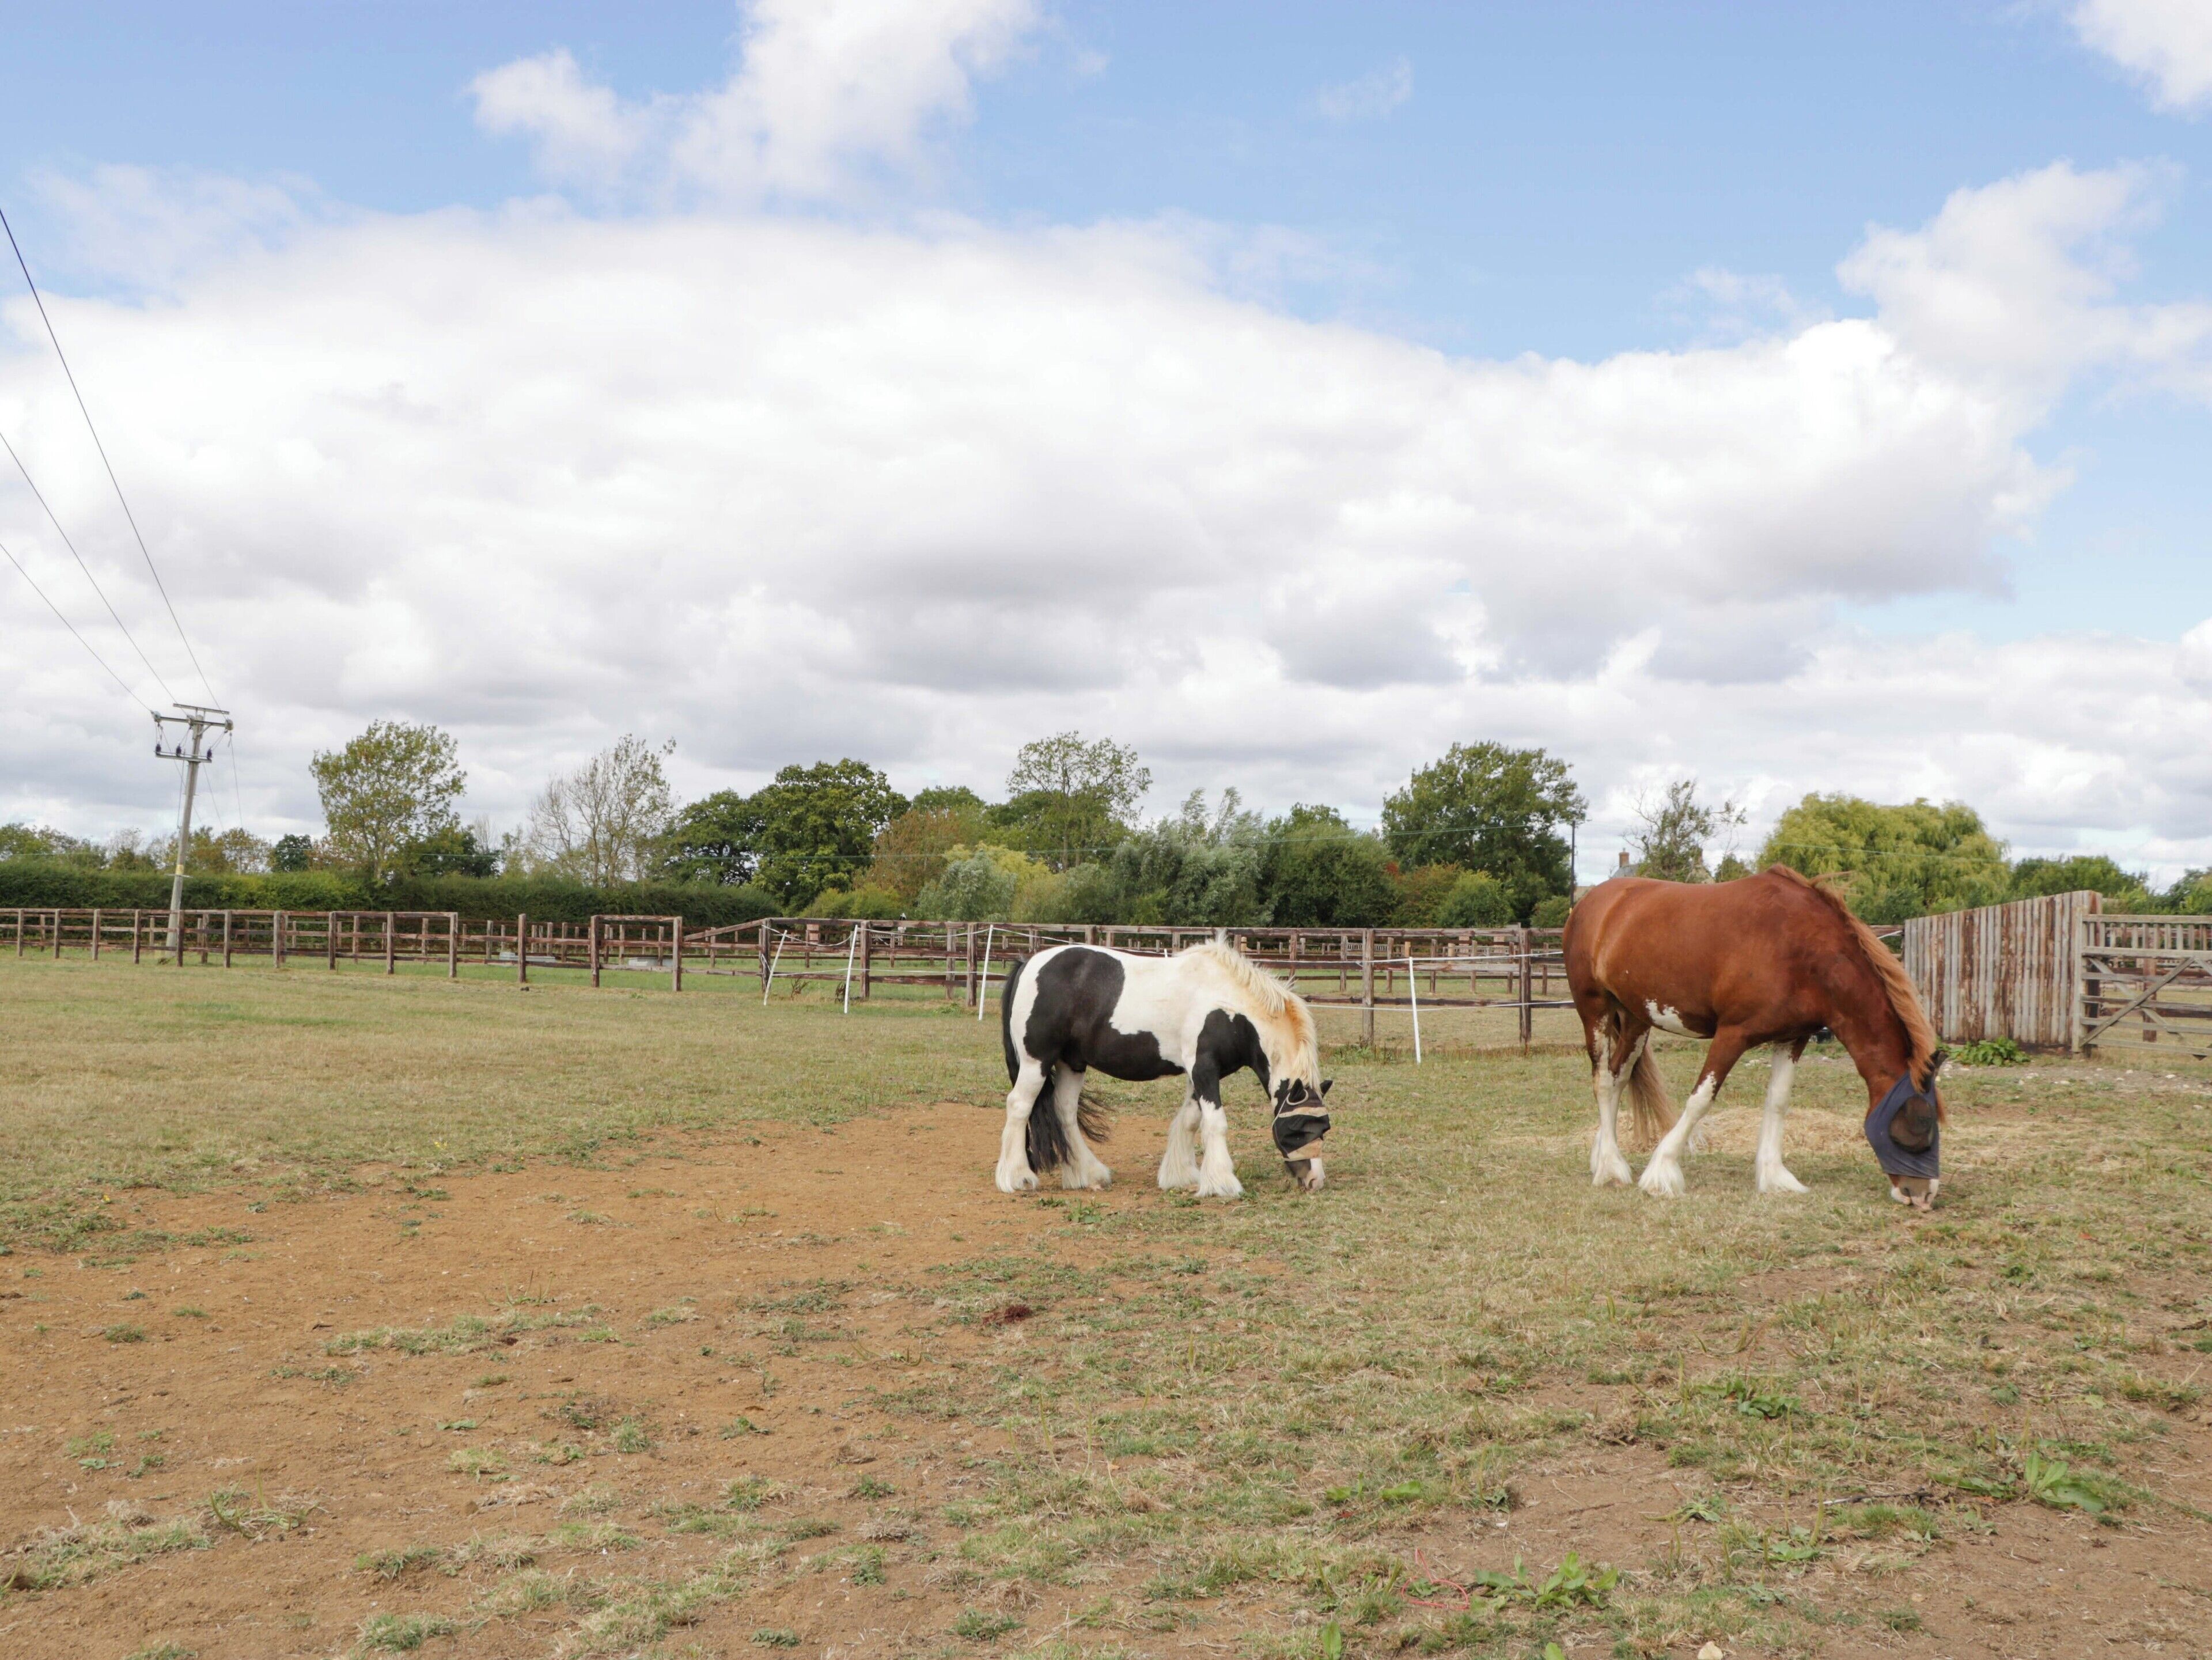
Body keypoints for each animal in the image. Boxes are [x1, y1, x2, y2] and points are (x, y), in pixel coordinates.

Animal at [995, 940, 1332, 1200]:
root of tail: (1028, 964)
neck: (1228, 1007)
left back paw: (1086, 1174)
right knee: (1019, 1106)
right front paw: (1222, 1182)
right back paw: (1016, 1178)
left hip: (1072, 1064)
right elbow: (1215, 1123)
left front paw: (1181, 1175)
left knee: (1064, 1112)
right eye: (1298, 1128)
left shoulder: (1203, 1073)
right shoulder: (1204, 1068)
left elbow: (1190, 1120)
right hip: (1036, 1062)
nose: (1315, 1181)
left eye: (1324, 1128)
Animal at [1564, 865, 1946, 1209]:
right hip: (1594, 1008)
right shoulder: (1733, 1034)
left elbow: (1777, 1102)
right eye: (1923, 1120)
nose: (1924, 1196)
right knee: (1602, 1081)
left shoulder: (1793, 1038)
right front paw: (1662, 1172)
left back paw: (1605, 1155)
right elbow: (1700, 1100)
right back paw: (1610, 1170)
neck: (1802, 948)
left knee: (1618, 1076)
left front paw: (1775, 1176)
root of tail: (1590, 902)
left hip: (1635, 1019)